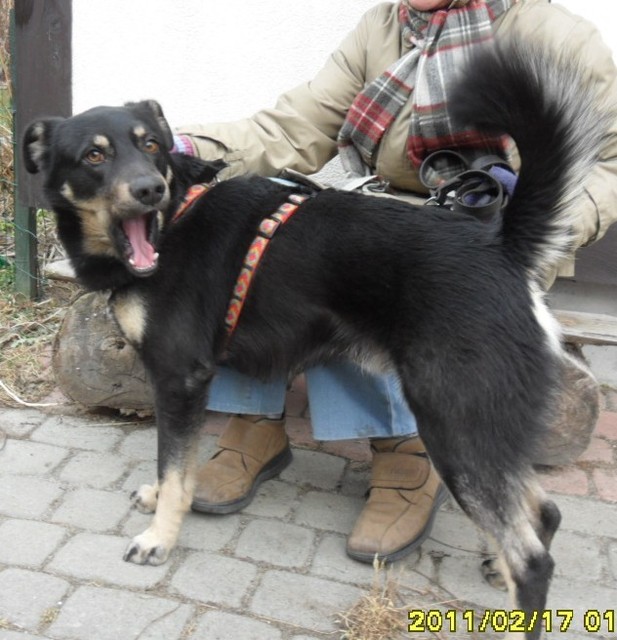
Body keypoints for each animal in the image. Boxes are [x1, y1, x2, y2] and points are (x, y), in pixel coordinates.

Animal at [23, 41, 609, 639]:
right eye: (94, 156)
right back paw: (496, 561)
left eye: (150, 146)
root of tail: (501, 246)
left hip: (453, 423)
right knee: (543, 511)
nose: (150, 189)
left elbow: (175, 464)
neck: (173, 219)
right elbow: (175, 466)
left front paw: (160, 538)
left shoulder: (180, 377)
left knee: (532, 558)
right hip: (479, 425)